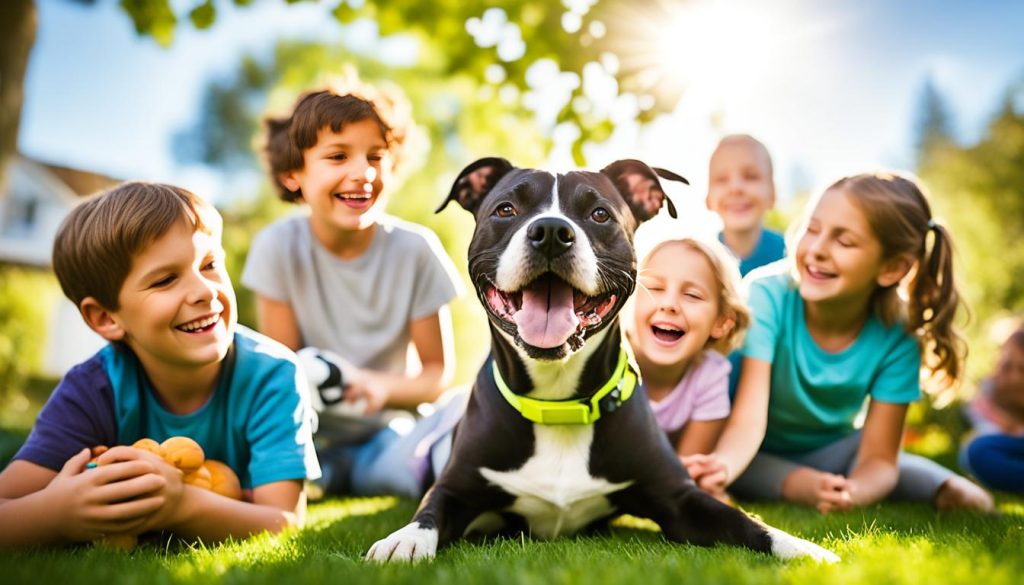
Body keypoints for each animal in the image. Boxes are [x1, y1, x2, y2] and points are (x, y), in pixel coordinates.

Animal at [368, 157, 839, 565]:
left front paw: (802, 547)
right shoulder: (458, 487)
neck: (558, 404)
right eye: (506, 209)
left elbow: (746, 523)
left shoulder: (680, 498)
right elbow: (430, 510)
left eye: (599, 214)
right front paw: (404, 540)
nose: (551, 230)